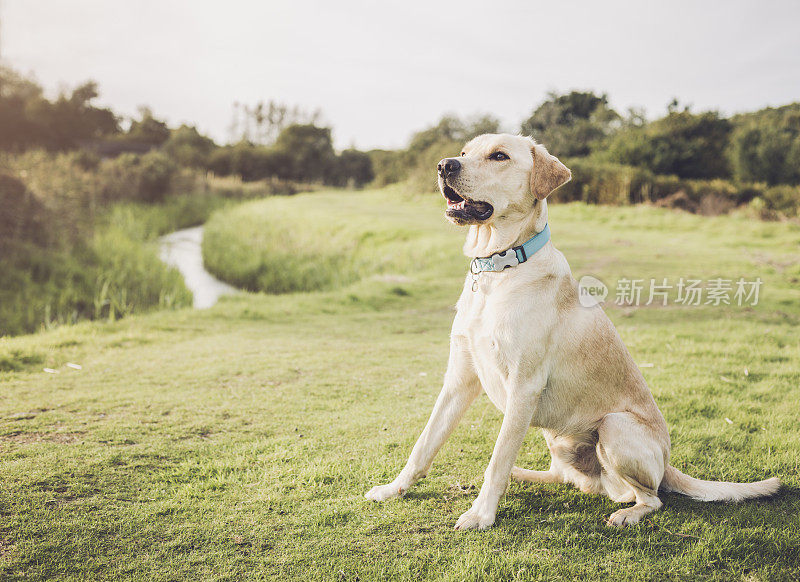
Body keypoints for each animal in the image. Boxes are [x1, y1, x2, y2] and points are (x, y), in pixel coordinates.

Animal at [366, 136, 780, 528]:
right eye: (465, 151)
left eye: (499, 156)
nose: (444, 165)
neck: (498, 270)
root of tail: (667, 463)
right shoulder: (459, 380)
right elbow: (425, 444)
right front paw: (393, 488)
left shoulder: (523, 386)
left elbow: (497, 458)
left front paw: (481, 514)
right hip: (558, 439)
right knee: (567, 477)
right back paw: (525, 475)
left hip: (614, 427)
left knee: (650, 497)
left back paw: (629, 512)